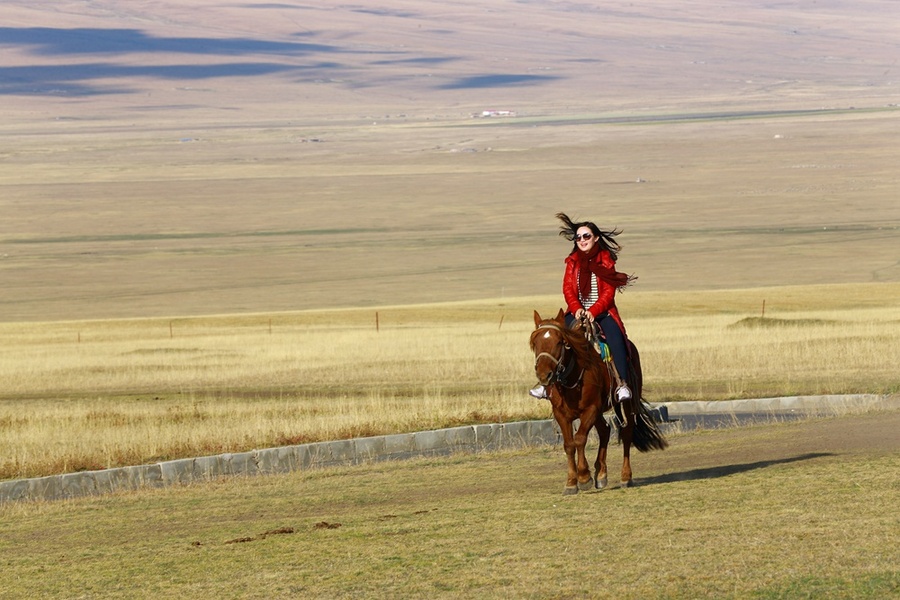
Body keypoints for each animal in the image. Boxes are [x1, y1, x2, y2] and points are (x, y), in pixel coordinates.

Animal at [532, 308, 664, 494]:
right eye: (535, 343)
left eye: (559, 342)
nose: (544, 375)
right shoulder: (561, 414)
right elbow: (569, 444)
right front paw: (571, 482)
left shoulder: (591, 409)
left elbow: (580, 439)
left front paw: (584, 477)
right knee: (605, 430)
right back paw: (601, 474)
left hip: (626, 403)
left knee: (626, 432)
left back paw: (625, 476)